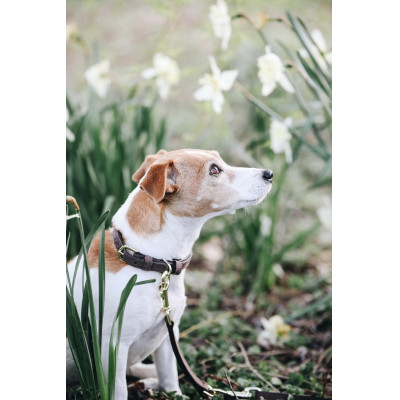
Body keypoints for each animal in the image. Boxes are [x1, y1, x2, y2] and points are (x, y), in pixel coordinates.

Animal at [67, 150, 274, 400]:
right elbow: (119, 390)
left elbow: (170, 376)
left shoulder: (168, 333)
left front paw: (174, 391)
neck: (149, 260)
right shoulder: (113, 346)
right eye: (214, 170)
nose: (269, 173)